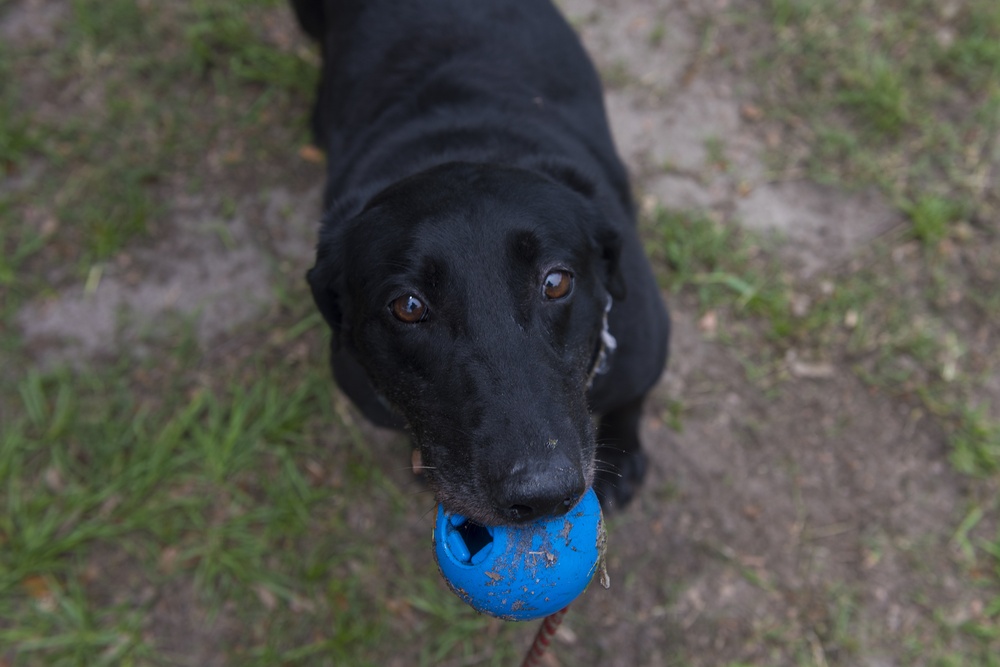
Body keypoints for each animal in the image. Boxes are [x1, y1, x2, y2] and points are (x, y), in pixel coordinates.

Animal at [294, 0, 672, 528]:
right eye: (408, 306)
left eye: (556, 283)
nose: (541, 495)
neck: (466, 141)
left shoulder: (645, 348)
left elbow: (632, 402)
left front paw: (625, 453)